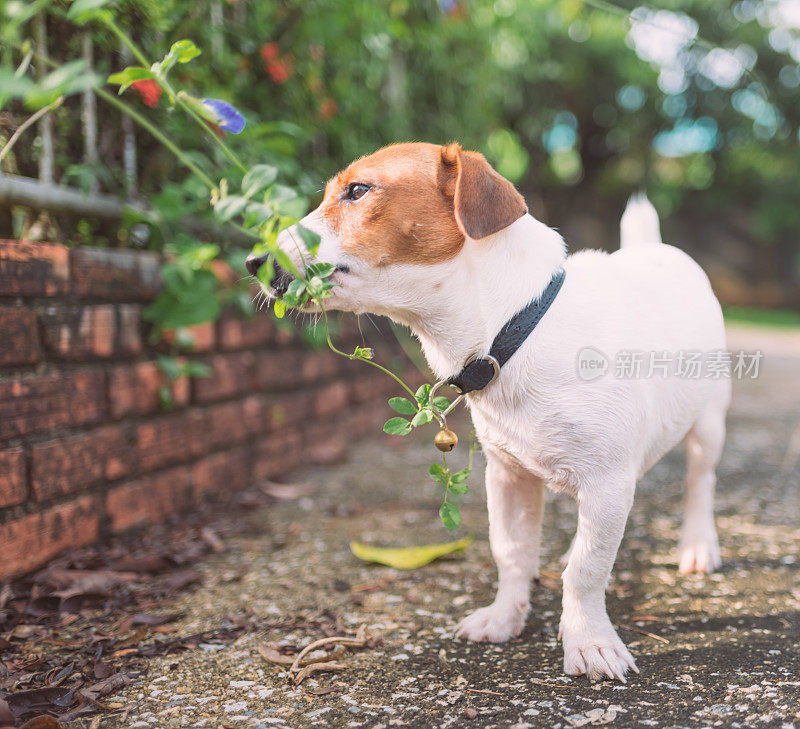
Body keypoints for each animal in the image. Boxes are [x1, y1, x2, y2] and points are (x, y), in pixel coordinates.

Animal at [248, 144, 732, 684]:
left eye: (357, 191)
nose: (252, 262)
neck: (515, 328)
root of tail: (658, 249)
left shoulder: (607, 481)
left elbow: (587, 571)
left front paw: (588, 641)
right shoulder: (508, 476)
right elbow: (512, 552)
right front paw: (505, 618)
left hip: (709, 423)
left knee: (699, 481)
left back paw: (696, 545)